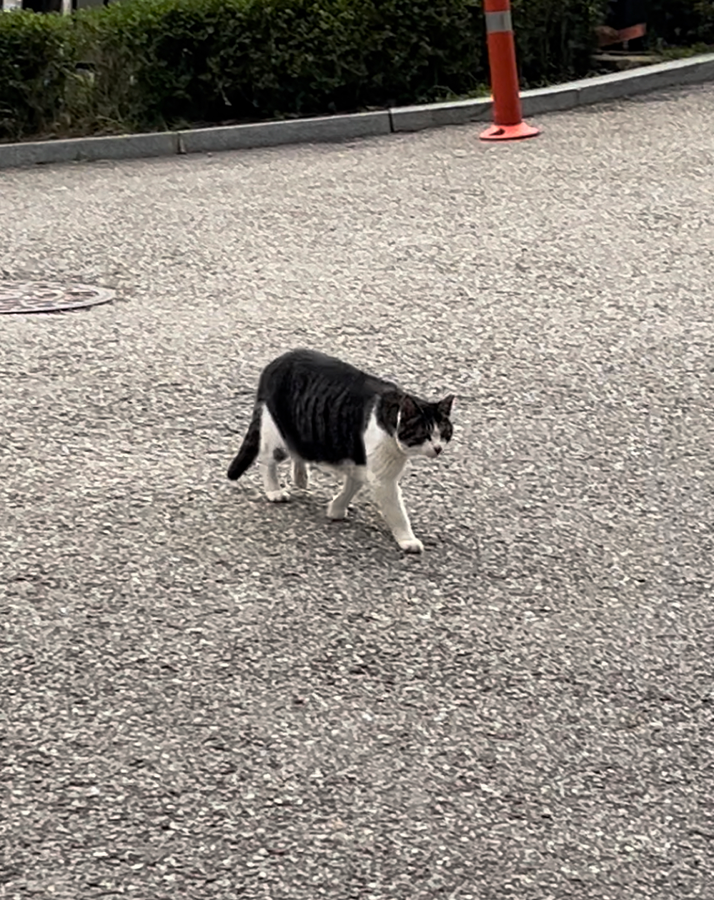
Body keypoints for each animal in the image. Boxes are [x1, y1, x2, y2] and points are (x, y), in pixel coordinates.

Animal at [225, 348, 454, 552]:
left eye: (444, 433)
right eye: (425, 434)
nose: (437, 448)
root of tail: (275, 363)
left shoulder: (359, 460)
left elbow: (352, 485)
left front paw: (336, 508)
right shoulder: (382, 478)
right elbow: (397, 511)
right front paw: (408, 540)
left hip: (304, 431)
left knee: (298, 452)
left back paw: (301, 477)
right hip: (278, 434)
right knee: (266, 459)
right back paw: (274, 490)